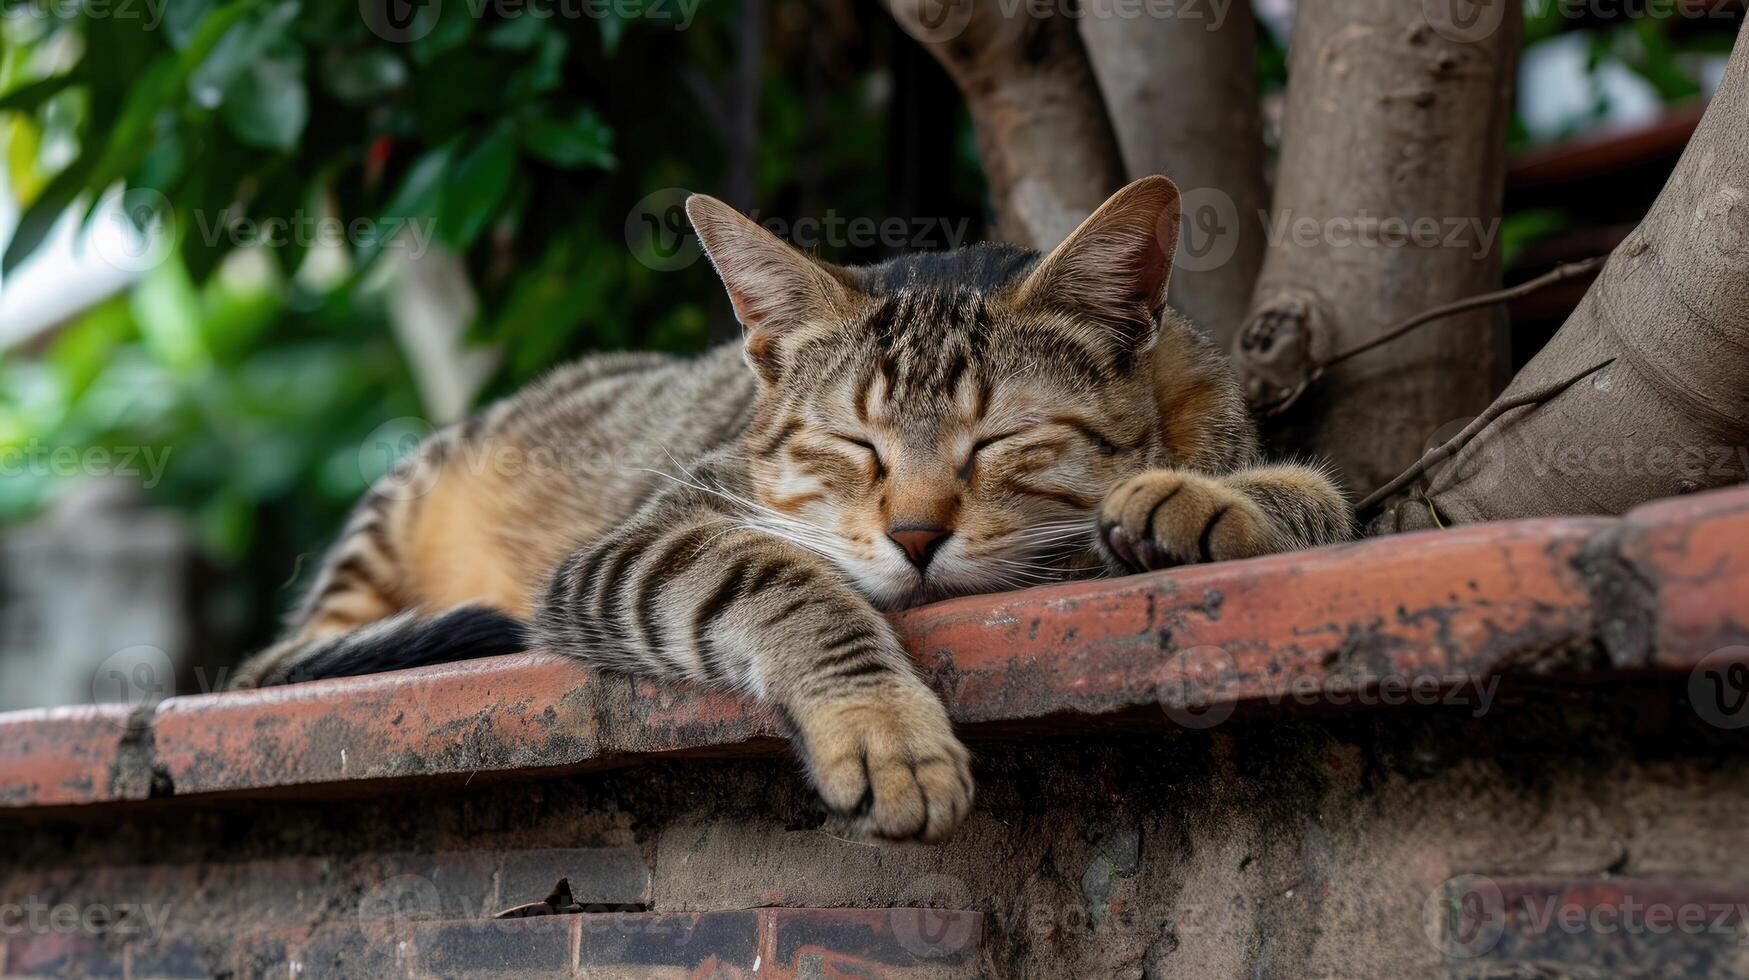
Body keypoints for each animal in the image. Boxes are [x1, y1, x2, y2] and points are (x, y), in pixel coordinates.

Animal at [232, 175, 1350, 843]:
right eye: (852, 446)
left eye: (996, 443)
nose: (915, 535)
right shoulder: (639, 543)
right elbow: (776, 573)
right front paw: (883, 726)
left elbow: (1318, 497)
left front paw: (1199, 501)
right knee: (267, 665)